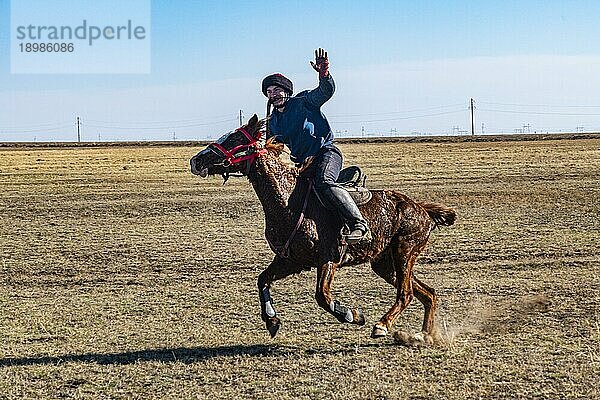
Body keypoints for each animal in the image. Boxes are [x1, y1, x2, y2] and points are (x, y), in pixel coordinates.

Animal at [191, 114, 454, 342]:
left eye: (235, 139)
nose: (196, 160)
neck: (290, 201)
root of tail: (421, 209)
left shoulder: (329, 258)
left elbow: (322, 296)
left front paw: (352, 315)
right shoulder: (290, 261)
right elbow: (262, 280)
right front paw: (272, 320)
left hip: (404, 252)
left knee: (406, 293)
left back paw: (382, 325)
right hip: (385, 263)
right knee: (427, 293)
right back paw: (424, 335)